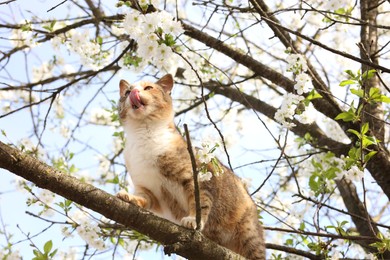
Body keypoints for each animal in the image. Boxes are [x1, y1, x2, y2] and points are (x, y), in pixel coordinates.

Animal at [116, 73, 266, 258]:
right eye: (127, 91)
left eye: (148, 88)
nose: (133, 92)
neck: (142, 134)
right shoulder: (147, 189)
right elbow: (143, 199)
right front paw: (129, 197)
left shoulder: (194, 179)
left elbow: (199, 202)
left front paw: (192, 220)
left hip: (249, 234)